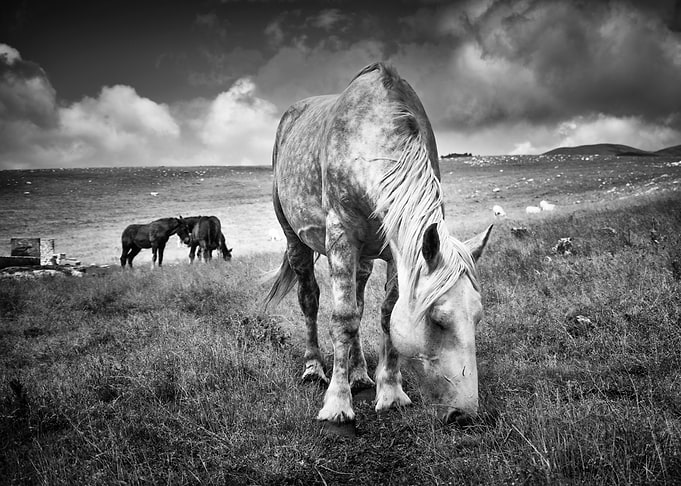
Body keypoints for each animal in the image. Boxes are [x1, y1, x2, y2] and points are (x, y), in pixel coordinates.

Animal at [263, 62, 492, 426]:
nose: (464, 415)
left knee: (358, 301)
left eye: (478, 317)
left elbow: (385, 314)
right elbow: (342, 319)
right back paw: (314, 368)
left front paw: (391, 393)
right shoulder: (341, 238)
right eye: (438, 320)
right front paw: (337, 404)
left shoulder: (396, 252)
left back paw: (359, 374)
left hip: (365, 258)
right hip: (295, 240)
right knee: (310, 300)